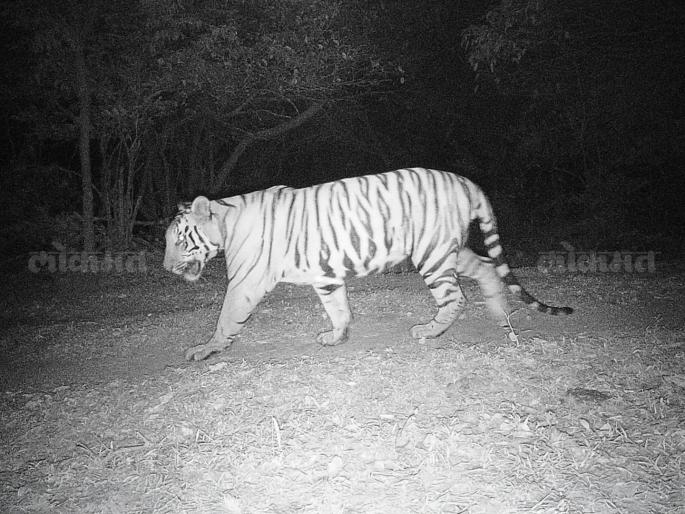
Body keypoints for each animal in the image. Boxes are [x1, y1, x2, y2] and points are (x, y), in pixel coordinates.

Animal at [164, 167, 572, 361]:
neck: (226, 219)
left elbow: (226, 317)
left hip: (431, 254)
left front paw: (206, 349)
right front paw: (336, 336)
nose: (166, 268)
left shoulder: (244, 281)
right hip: (449, 250)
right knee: (487, 267)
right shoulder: (326, 276)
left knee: (455, 298)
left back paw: (428, 331)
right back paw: (500, 316)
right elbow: (338, 308)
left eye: (178, 241)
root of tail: (465, 181)